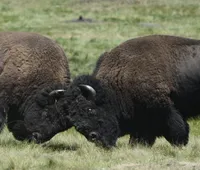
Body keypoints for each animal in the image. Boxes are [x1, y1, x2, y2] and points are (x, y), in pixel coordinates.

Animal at [54, 34, 200, 147]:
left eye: (89, 109)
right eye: (73, 118)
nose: (94, 137)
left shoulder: (164, 109)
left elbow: (176, 128)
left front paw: (180, 144)